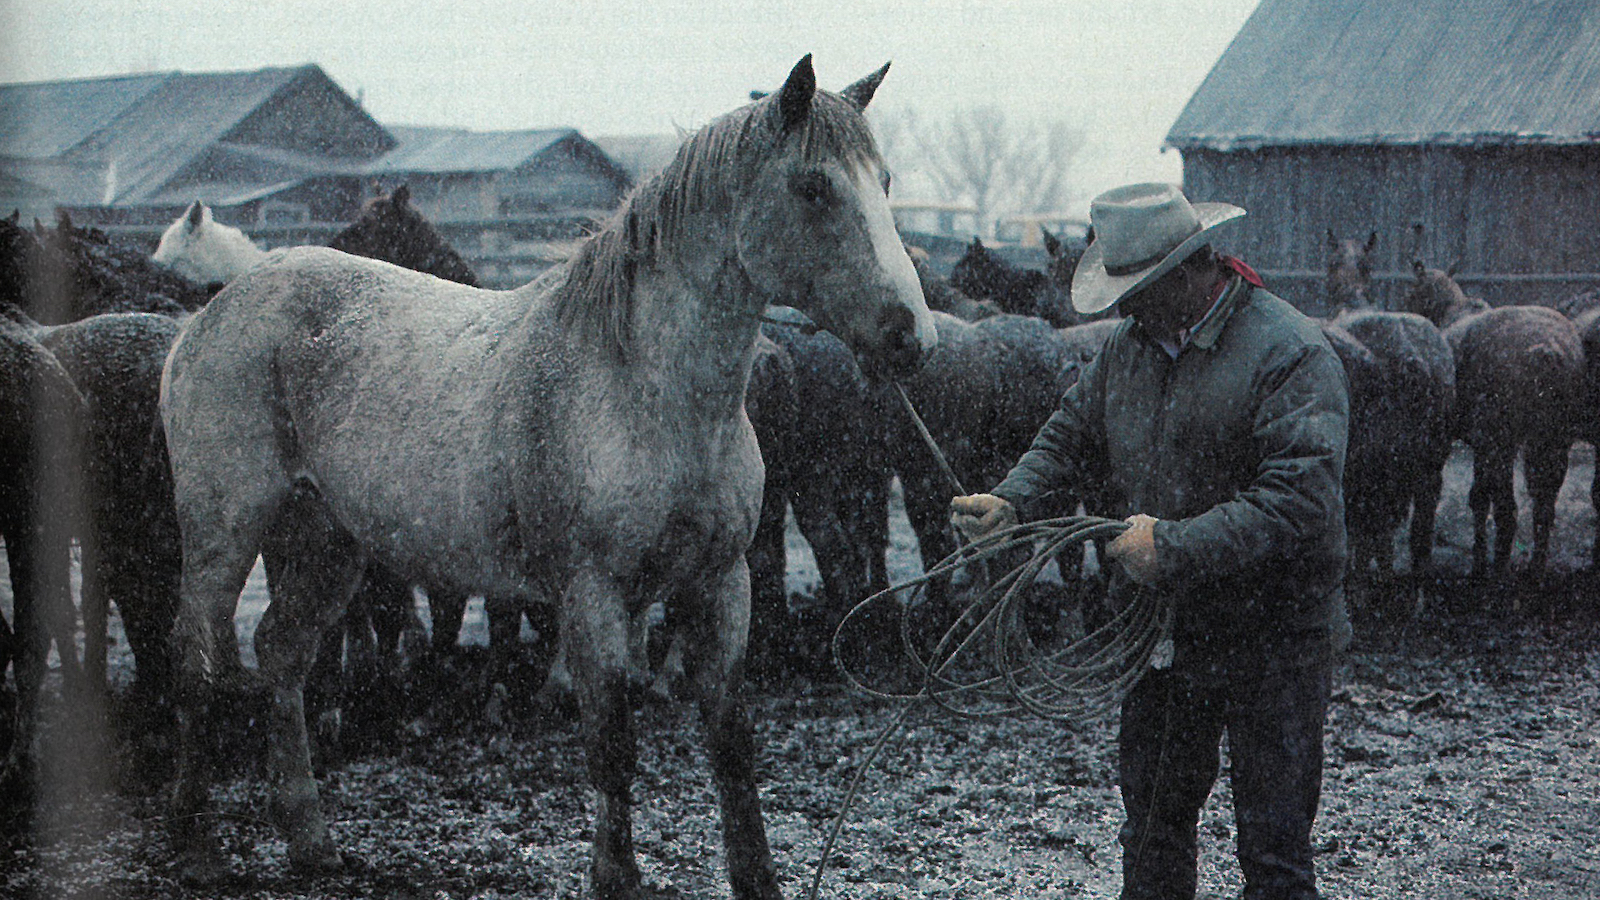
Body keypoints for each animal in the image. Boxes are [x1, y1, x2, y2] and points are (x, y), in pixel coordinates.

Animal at [158, 55, 934, 896]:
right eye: (813, 187)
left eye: (886, 182)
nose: (911, 338)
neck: (645, 388)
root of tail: (212, 313)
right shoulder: (592, 594)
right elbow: (612, 744)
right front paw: (615, 876)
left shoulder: (722, 581)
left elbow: (731, 742)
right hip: (226, 529)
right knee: (194, 658)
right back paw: (194, 844)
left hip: (327, 539)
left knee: (282, 652)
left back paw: (310, 840)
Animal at [1400, 261, 1584, 580]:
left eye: (1412, 290)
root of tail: (1548, 352)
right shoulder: (1482, 443)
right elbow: (1480, 496)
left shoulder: (1469, 439)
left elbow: (1471, 497)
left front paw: (1475, 560)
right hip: (1552, 439)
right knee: (1543, 505)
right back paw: (1535, 565)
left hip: (1503, 439)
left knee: (1507, 508)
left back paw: (1497, 566)